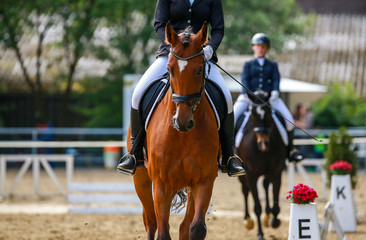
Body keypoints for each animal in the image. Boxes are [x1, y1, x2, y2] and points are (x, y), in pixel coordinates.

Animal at [130, 21, 219, 239]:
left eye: (199, 70)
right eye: (169, 70)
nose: (182, 121)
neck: (183, 137)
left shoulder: (204, 181)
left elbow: (196, 228)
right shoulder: (161, 185)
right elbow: (162, 231)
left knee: (184, 226)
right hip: (141, 179)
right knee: (151, 222)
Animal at [236, 90, 288, 240]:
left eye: (269, 113)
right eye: (253, 114)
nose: (263, 144)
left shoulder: (276, 172)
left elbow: (276, 204)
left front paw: (274, 221)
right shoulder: (251, 174)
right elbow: (257, 206)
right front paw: (260, 233)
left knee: (265, 186)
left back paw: (267, 216)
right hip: (242, 175)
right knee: (245, 191)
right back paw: (247, 220)